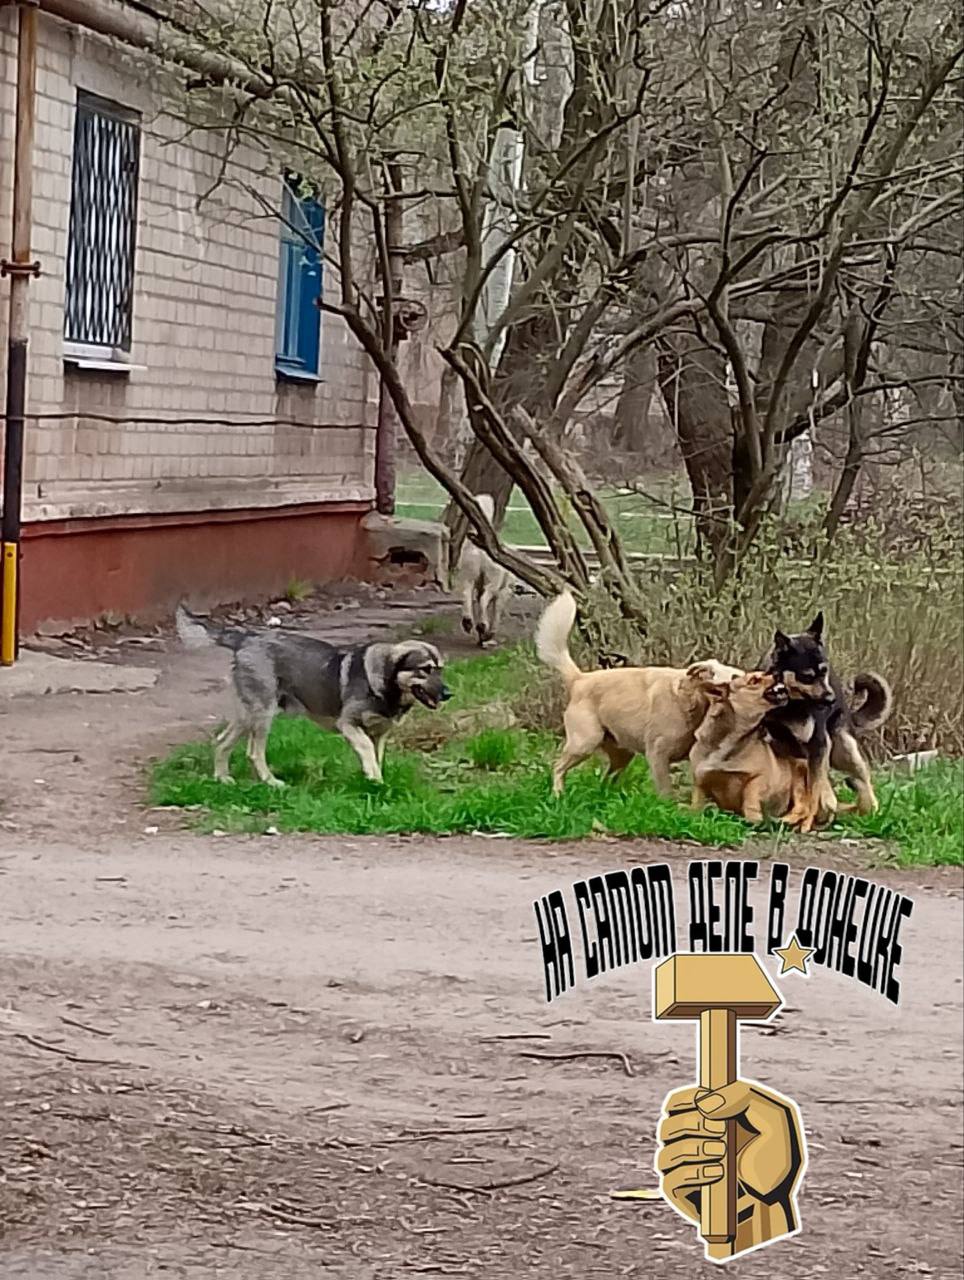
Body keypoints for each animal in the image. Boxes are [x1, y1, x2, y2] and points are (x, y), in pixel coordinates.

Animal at [176, 605, 450, 786]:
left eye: (440, 669)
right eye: (425, 669)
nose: (449, 693)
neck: (385, 683)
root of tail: (246, 638)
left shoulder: (380, 734)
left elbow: (376, 756)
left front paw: (374, 780)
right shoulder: (348, 724)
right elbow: (366, 750)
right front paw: (374, 780)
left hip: (248, 714)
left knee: (222, 741)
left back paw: (222, 778)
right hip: (262, 714)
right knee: (254, 752)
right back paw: (271, 782)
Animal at [454, 493, 513, 646]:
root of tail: (481, 549)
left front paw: (482, 637)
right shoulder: (503, 593)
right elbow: (496, 614)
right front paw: (488, 634)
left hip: (468, 576)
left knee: (466, 595)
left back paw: (468, 622)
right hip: (492, 583)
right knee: (483, 600)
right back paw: (482, 625)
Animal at [535, 591, 743, 795]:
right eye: (733, 678)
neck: (689, 700)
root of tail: (579, 679)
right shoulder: (658, 755)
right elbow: (666, 793)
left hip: (621, 753)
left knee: (606, 779)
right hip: (585, 742)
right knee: (558, 767)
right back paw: (559, 796)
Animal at [690, 671, 813, 826]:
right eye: (754, 680)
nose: (777, 673)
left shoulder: (757, 777)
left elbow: (750, 796)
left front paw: (753, 820)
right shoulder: (700, 782)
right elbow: (697, 803)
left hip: (799, 772)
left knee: (802, 807)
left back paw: (784, 821)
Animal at [763, 612, 892, 823]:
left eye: (824, 671)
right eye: (807, 676)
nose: (832, 700)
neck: (789, 703)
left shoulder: (819, 743)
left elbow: (818, 785)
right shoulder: (781, 744)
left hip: (845, 748)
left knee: (863, 784)